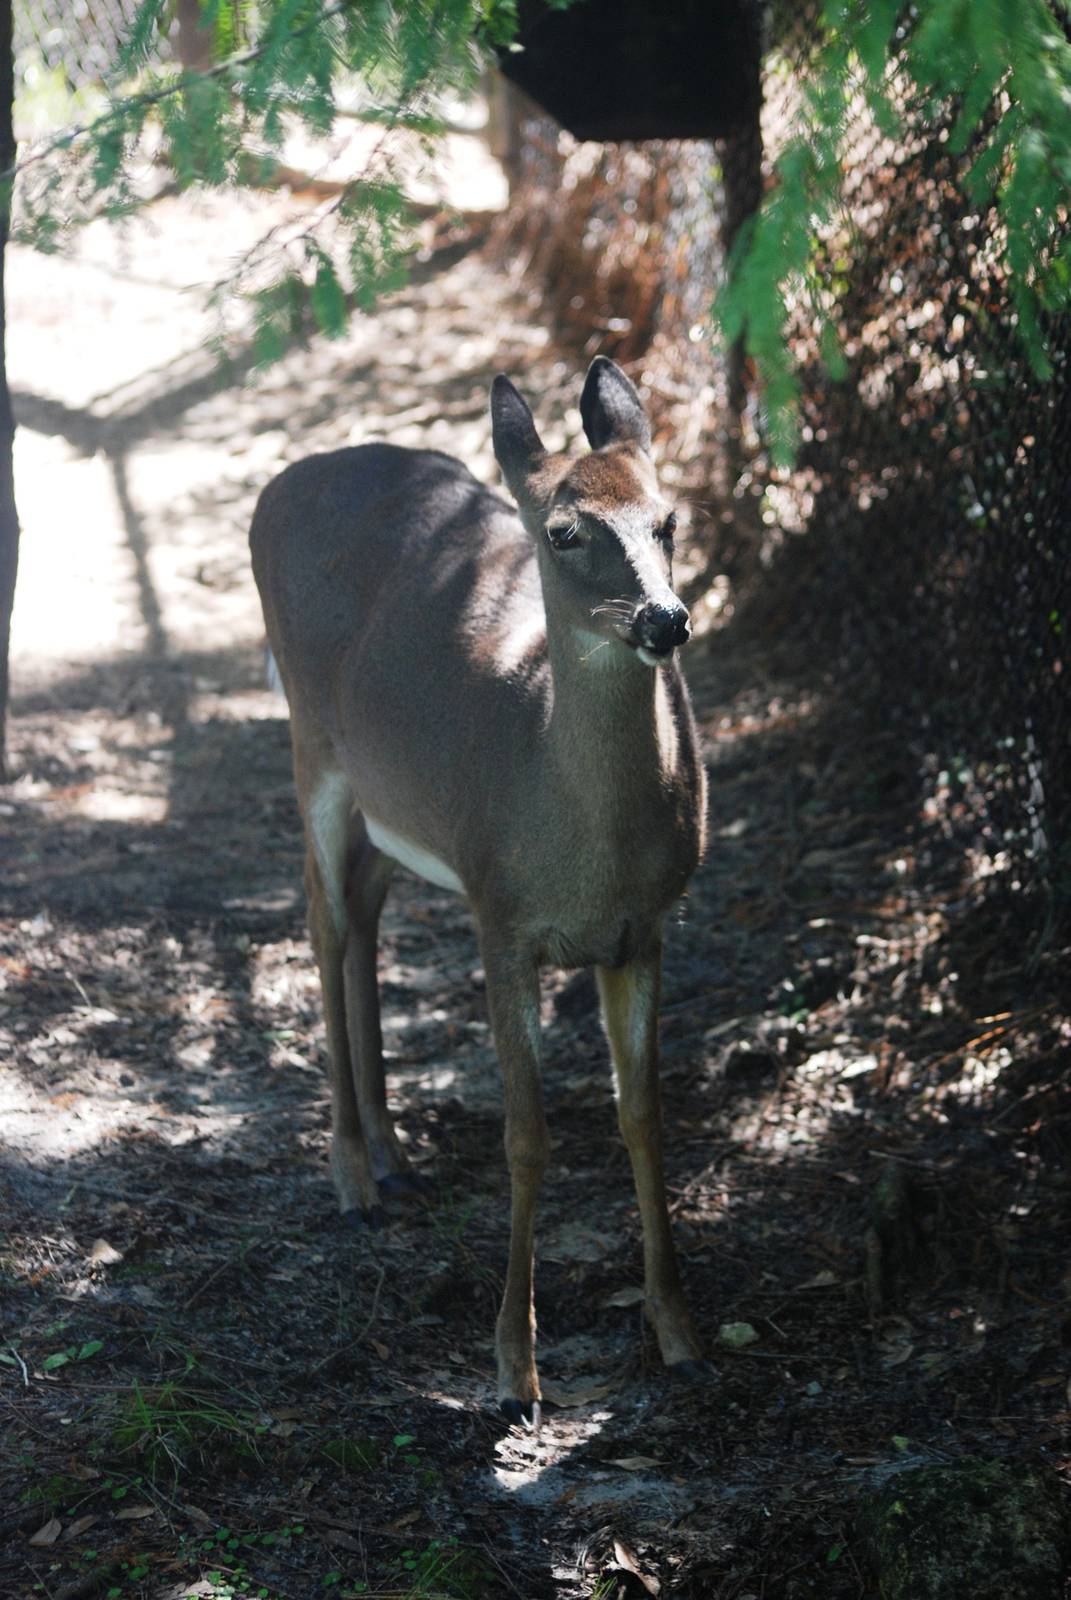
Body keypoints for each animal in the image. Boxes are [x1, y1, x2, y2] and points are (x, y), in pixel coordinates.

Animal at [250, 357, 708, 1425]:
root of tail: (283, 481)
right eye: (566, 530)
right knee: (322, 921)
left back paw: (392, 1153)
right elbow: (526, 1137)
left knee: (362, 915)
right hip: (311, 743)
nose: (663, 619)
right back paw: (349, 1173)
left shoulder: (646, 928)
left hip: (392, 805)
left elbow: (642, 1117)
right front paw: (512, 1365)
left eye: (667, 517)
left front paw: (675, 1329)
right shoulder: (500, 916)